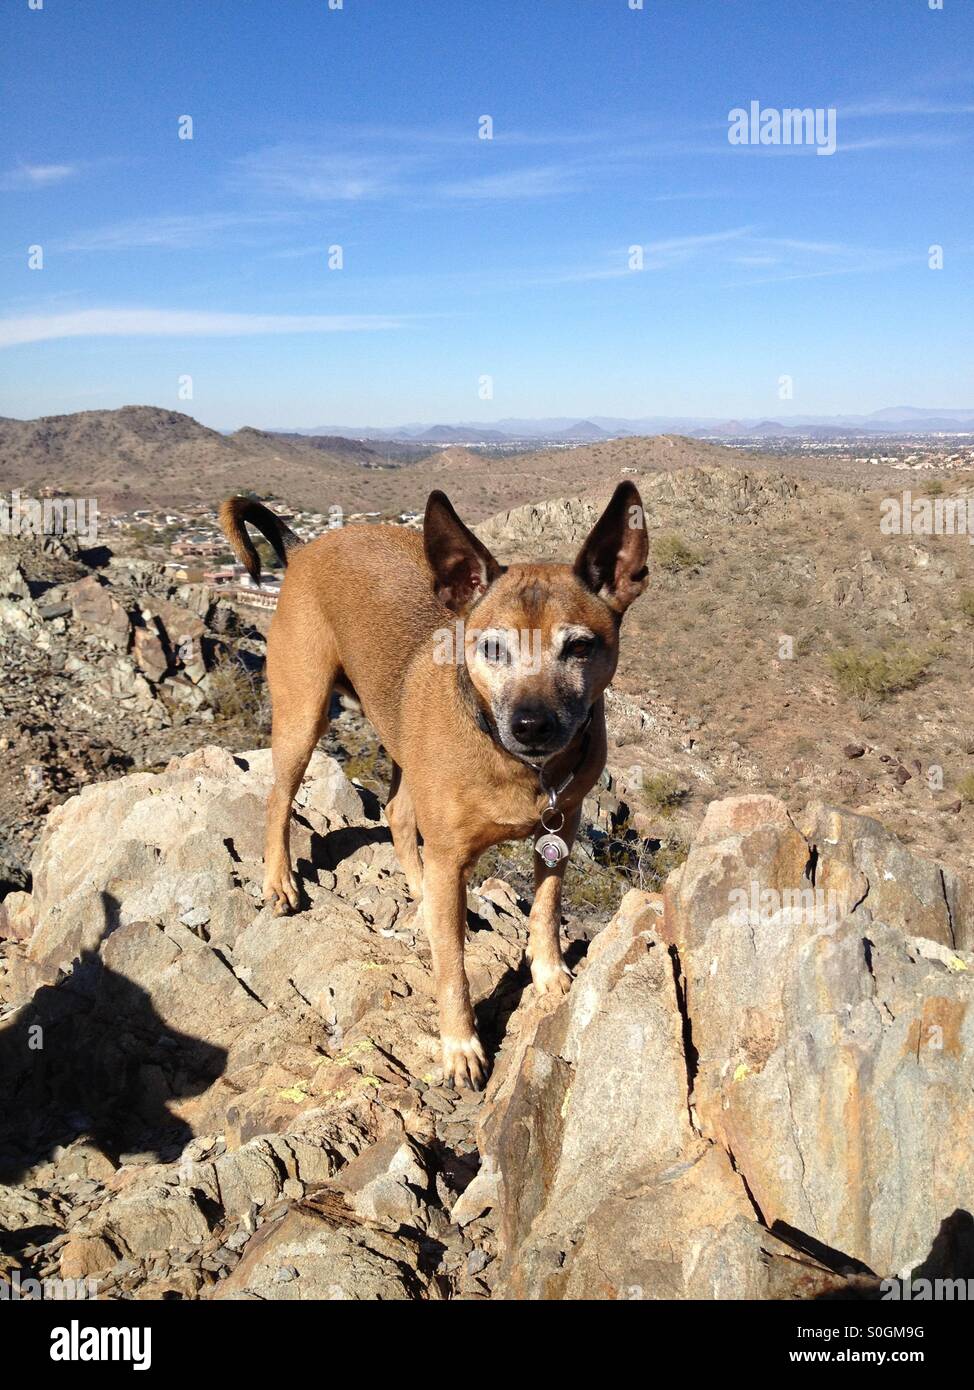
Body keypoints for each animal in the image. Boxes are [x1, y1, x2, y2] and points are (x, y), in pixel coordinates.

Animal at [219, 483, 644, 1089]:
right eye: (492, 648)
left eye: (580, 648)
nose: (532, 725)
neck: (515, 764)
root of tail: (304, 549)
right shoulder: (451, 853)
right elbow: (453, 968)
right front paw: (461, 1046)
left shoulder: (562, 826)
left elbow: (546, 903)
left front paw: (550, 972)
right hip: (303, 713)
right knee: (280, 797)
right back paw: (280, 883)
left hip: (400, 742)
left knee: (397, 813)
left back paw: (418, 893)